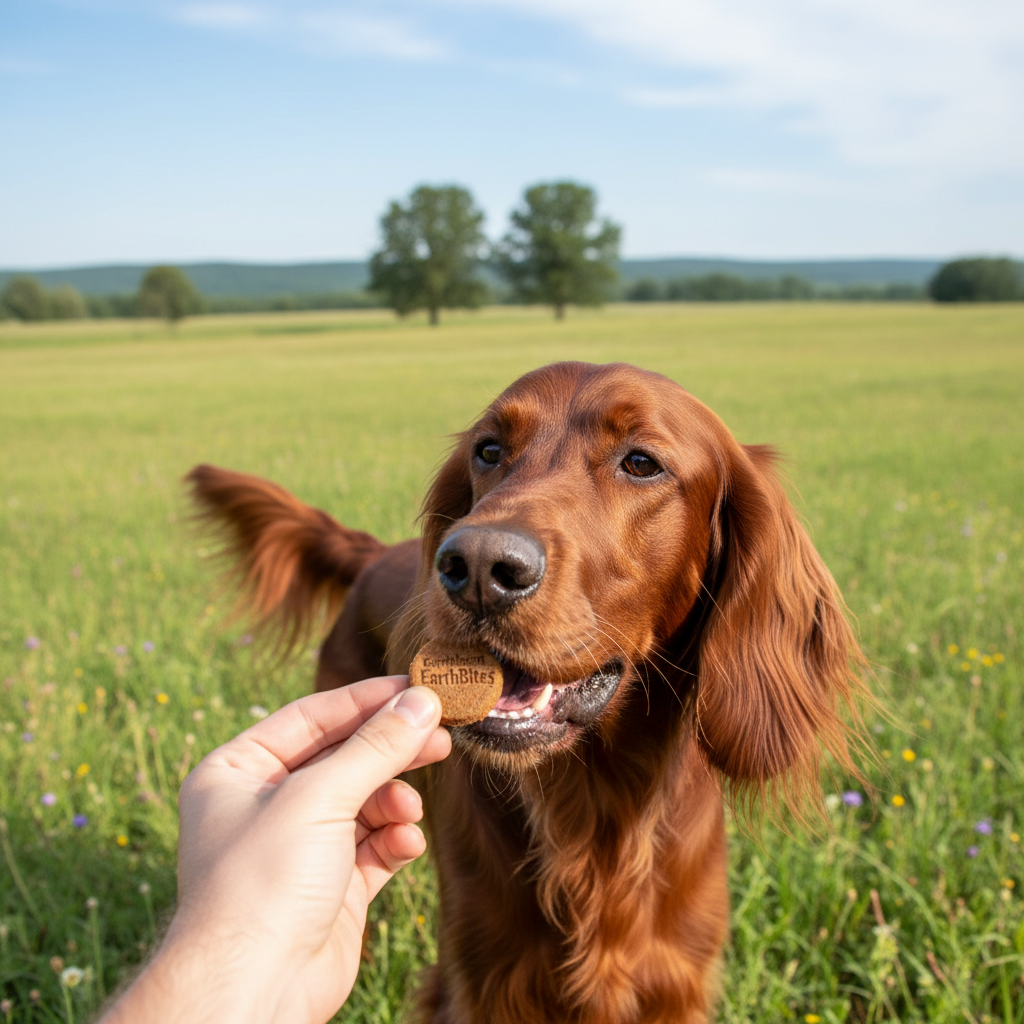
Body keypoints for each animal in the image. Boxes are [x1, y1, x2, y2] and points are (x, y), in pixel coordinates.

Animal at [188, 361, 867, 1024]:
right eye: (489, 450)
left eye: (641, 462)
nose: (477, 567)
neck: (595, 809)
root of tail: (374, 553)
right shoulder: (482, 982)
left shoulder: (672, 984)